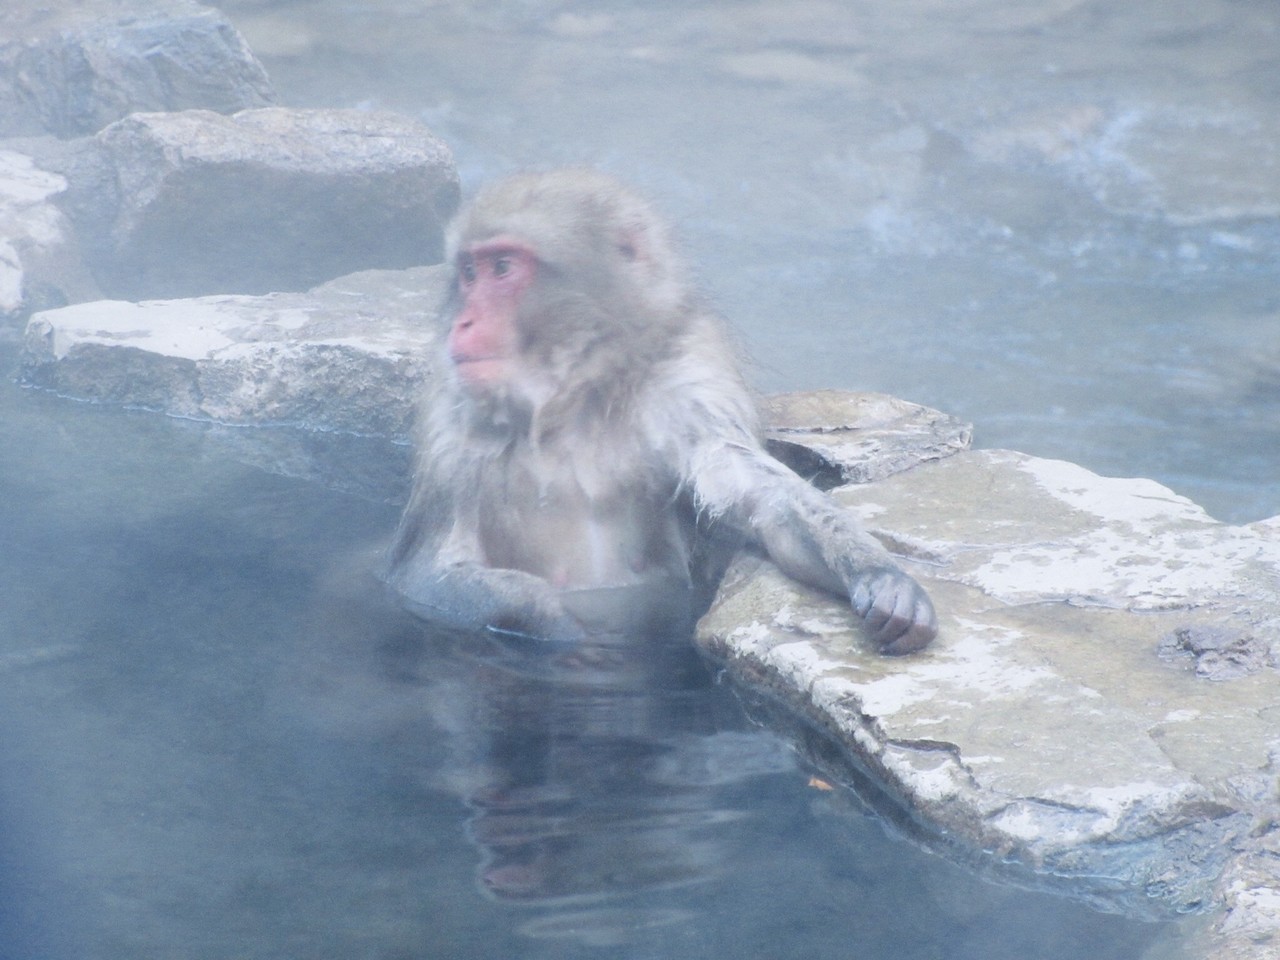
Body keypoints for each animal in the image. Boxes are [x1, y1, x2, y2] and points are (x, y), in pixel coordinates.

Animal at [384, 168, 936, 660]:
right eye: (469, 272)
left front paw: (880, 575)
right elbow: (426, 574)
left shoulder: (692, 380)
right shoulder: (452, 427)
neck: (576, 397)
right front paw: (553, 619)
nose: (462, 321)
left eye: (502, 267)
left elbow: (759, 494)